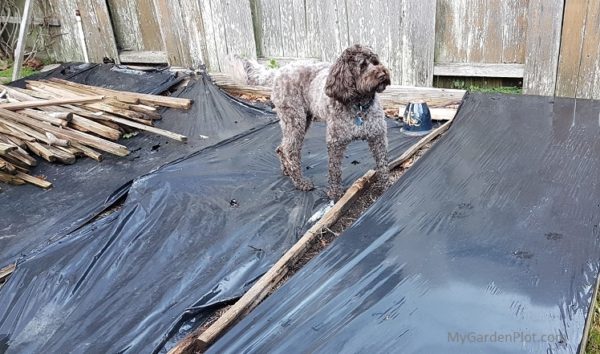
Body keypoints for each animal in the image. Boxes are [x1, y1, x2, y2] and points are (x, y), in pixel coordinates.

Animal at [227, 44, 392, 201]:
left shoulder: (378, 138)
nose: (383, 74)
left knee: (281, 147)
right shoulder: (335, 142)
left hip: (300, 120)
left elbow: (383, 165)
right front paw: (335, 194)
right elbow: (335, 171)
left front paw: (387, 188)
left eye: (375, 62)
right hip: (295, 120)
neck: (359, 105)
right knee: (290, 150)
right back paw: (300, 182)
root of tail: (279, 71)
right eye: (362, 66)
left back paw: (287, 170)